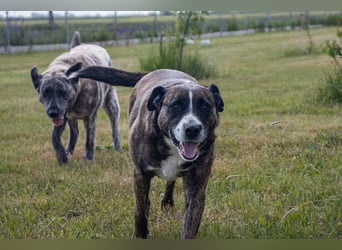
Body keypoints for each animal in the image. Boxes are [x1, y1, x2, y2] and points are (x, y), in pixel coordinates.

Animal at [30, 31, 121, 163]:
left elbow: (89, 139)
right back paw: (68, 150)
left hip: (111, 103)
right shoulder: (62, 117)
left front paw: (88, 158)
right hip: (71, 118)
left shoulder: (90, 117)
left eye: (62, 92)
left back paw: (118, 147)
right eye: (45, 93)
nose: (53, 113)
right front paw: (62, 157)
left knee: (114, 126)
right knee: (75, 132)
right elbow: (55, 138)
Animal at [75, 66, 224, 238]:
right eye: (175, 106)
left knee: (170, 182)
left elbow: (190, 224)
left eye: (205, 106)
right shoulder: (140, 173)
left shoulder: (196, 187)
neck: (169, 144)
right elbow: (139, 211)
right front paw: (140, 234)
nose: (192, 129)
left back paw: (167, 202)